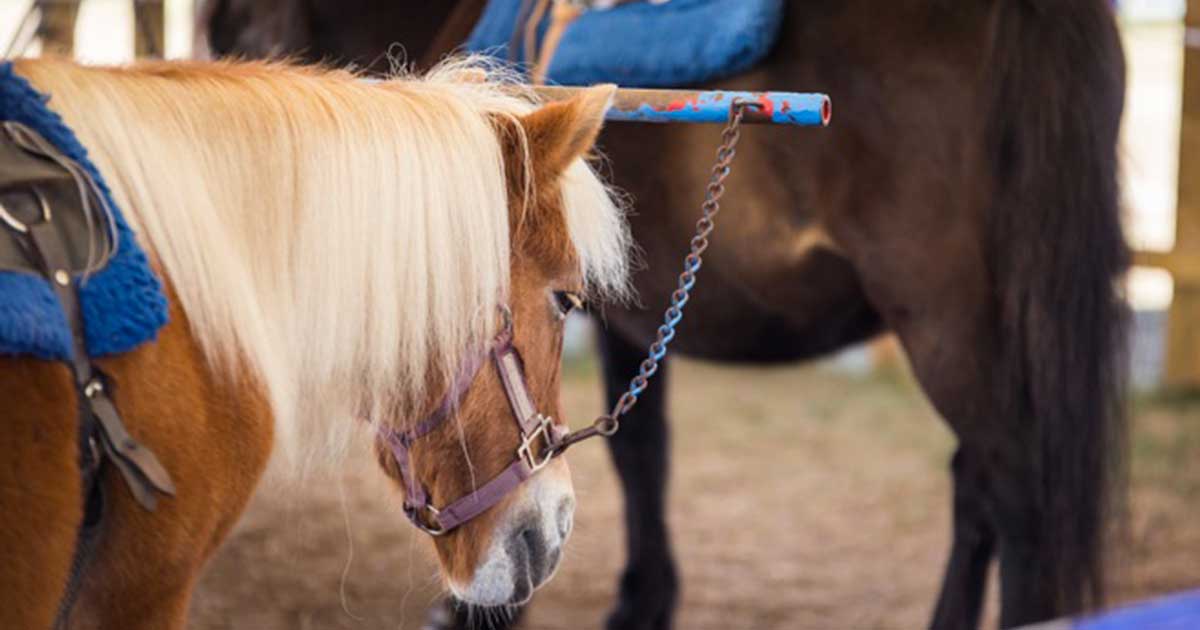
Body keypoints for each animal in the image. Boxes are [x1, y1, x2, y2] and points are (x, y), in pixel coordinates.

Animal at [201, 1, 1128, 628]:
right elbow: (644, 455)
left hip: (949, 322)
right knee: (982, 489)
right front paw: (643, 600)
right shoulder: (630, 317)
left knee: (1013, 488)